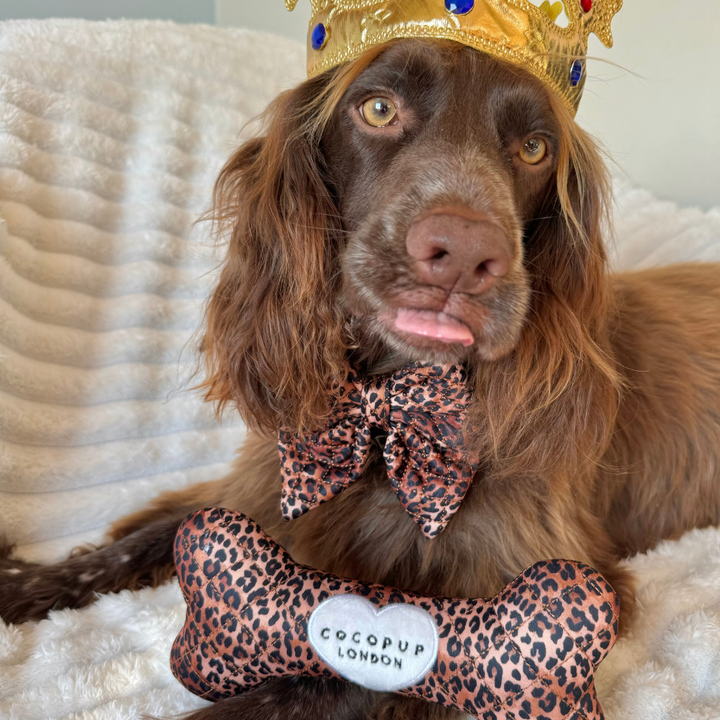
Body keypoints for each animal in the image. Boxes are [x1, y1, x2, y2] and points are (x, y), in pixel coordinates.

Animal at [4, 39, 720, 720]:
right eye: (378, 108)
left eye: (534, 147)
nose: (464, 255)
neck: (388, 408)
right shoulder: (272, 478)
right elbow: (142, 541)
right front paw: (24, 583)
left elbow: (334, 679)